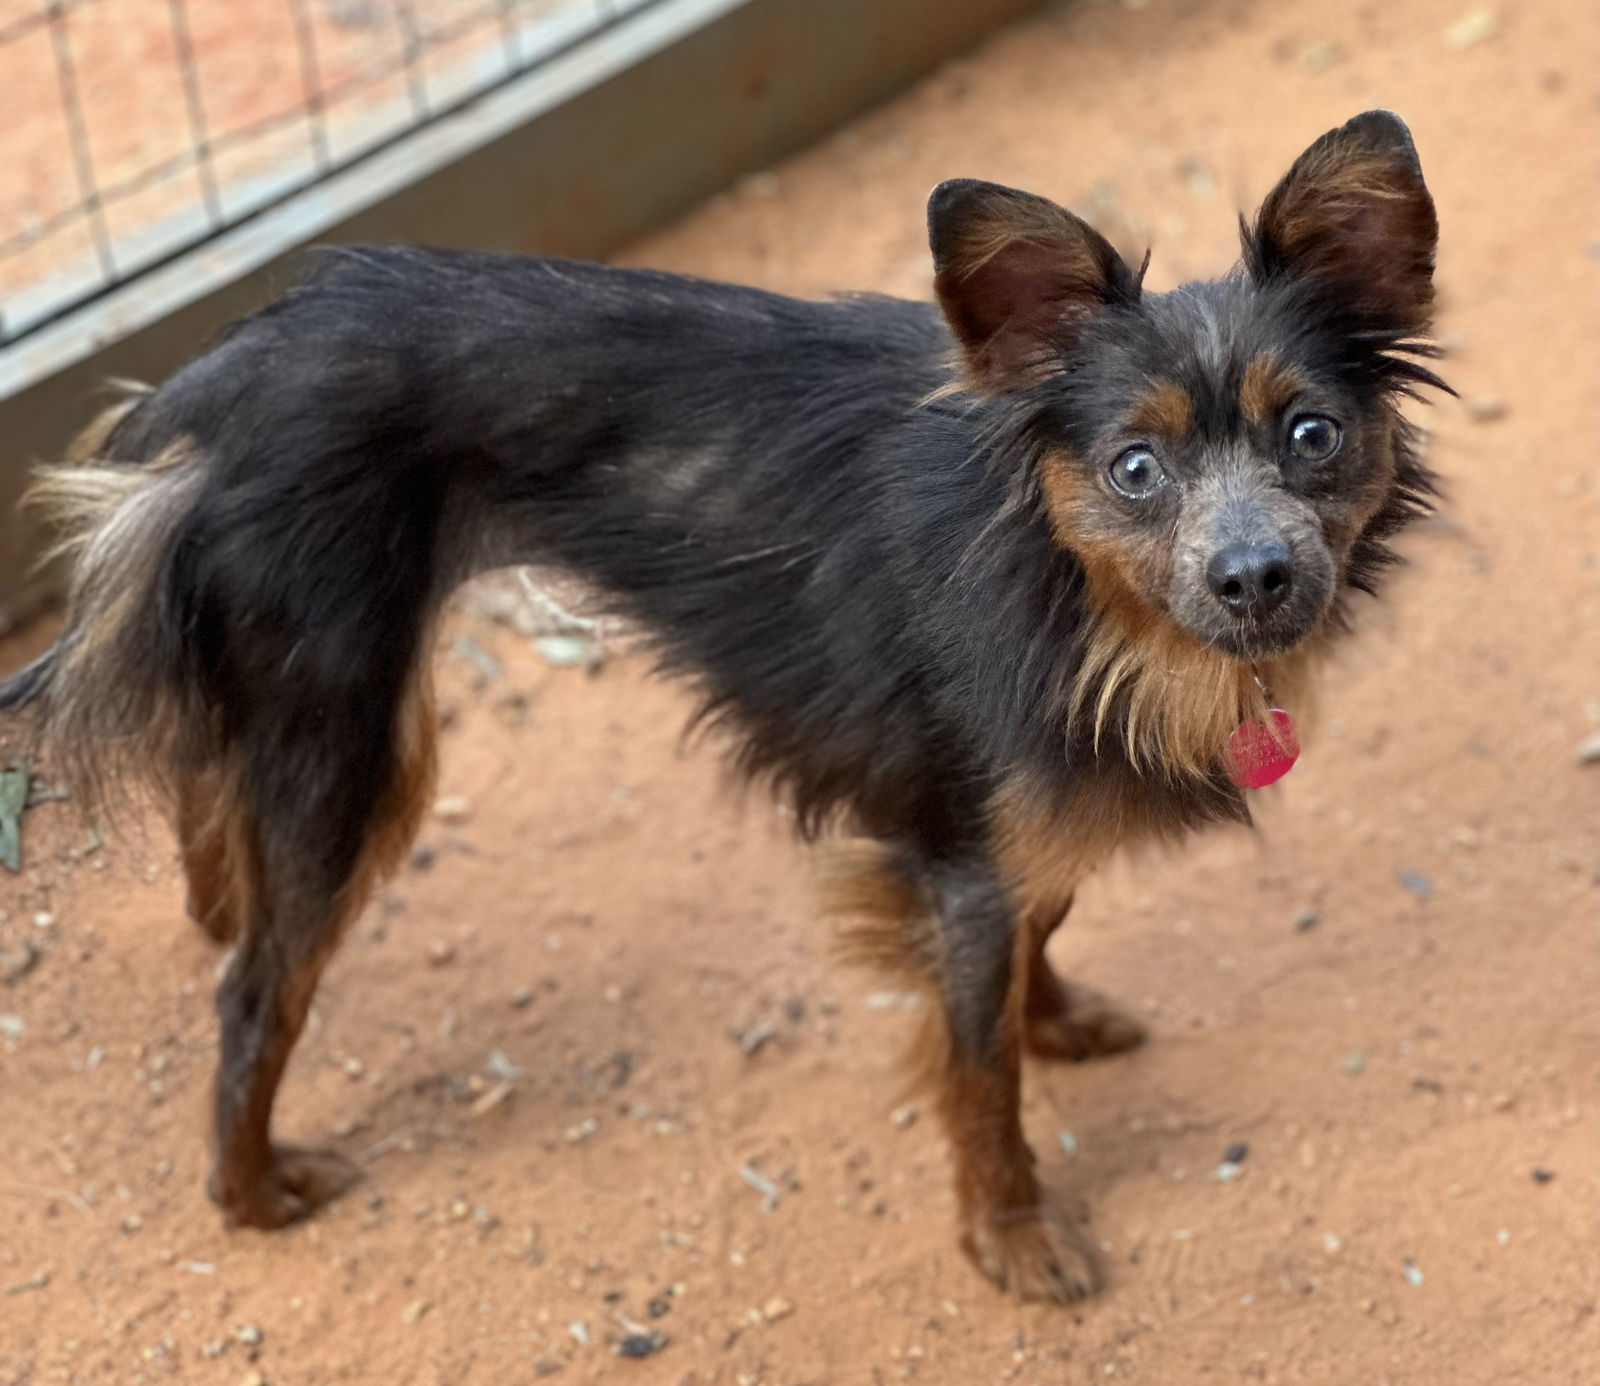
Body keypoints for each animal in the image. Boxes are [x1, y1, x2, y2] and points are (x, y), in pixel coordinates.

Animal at [0, 108, 1446, 1293]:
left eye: (1311, 434)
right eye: (1135, 467)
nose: (1254, 577)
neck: (1078, 595)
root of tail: (230, 373)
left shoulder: (997, 827)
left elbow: (1042, 926)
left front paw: (1056, 1018)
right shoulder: (960, 851)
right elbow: (979, 1074)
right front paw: (1012, 1236)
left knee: (212, 810)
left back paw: (213, 906)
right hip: (351, 737)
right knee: (257, 992)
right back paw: (248, 1188)